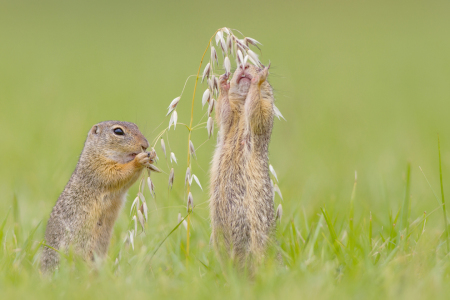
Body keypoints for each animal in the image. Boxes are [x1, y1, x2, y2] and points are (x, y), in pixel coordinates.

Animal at [41, 120, 156, 274]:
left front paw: (151, 157)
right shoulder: (98, 168)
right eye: (118, 131)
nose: (145, 144)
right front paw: (139, 160)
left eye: (136, 126)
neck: (97, 152)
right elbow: (117, 174)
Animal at [209, 63, 276, 268]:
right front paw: (223, 83)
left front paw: (258, 79)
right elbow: (224, 112)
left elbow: (258, 113)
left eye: (258, 64)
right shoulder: (231, 117)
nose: (244, 65)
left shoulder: (266, 108)